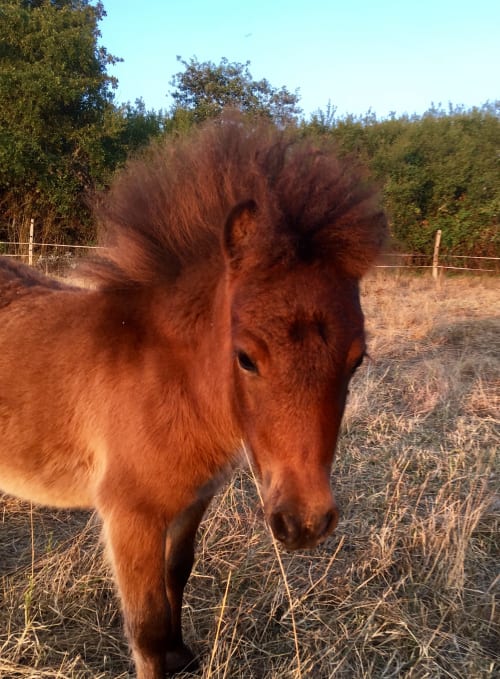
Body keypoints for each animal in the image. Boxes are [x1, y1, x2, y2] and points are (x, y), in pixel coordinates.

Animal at [0, 116, 386, 678]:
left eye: (357, 359)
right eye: (245, 357)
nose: (305, 523)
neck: (171, 380)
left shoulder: (192, 502)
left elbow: (177, 574)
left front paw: (182, 652)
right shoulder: (131, 516)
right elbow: (146, 628)